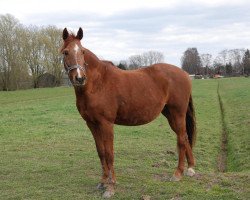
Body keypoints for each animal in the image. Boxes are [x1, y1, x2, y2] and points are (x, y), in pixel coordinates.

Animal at [61, 27, 197, 198]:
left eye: (83, 52)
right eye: (65, 52)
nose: (79, 78)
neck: (97, 83)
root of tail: (184, 73)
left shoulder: (106, 124)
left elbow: (109, 154)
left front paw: (111, 187)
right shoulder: (92, 124)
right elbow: (101, 152)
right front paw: (103, 182)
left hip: (177, 113)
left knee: (181, 139)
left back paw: (177, 174)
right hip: (170, 115)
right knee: (184, 137)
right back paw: (190, 169)